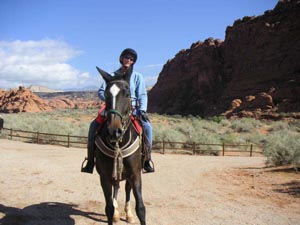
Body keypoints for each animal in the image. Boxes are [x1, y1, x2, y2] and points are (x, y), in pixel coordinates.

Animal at [94, 67, 145, 225]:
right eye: (105, 94)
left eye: (127, 94)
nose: (114, 131)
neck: (119, 143)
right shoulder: (104, 176)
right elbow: (109, 208)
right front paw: (114, 213)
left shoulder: (135, 173)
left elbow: (140, 208)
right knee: (116, 187)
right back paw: (118, 213)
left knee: (127, 189)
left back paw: (128, 214)